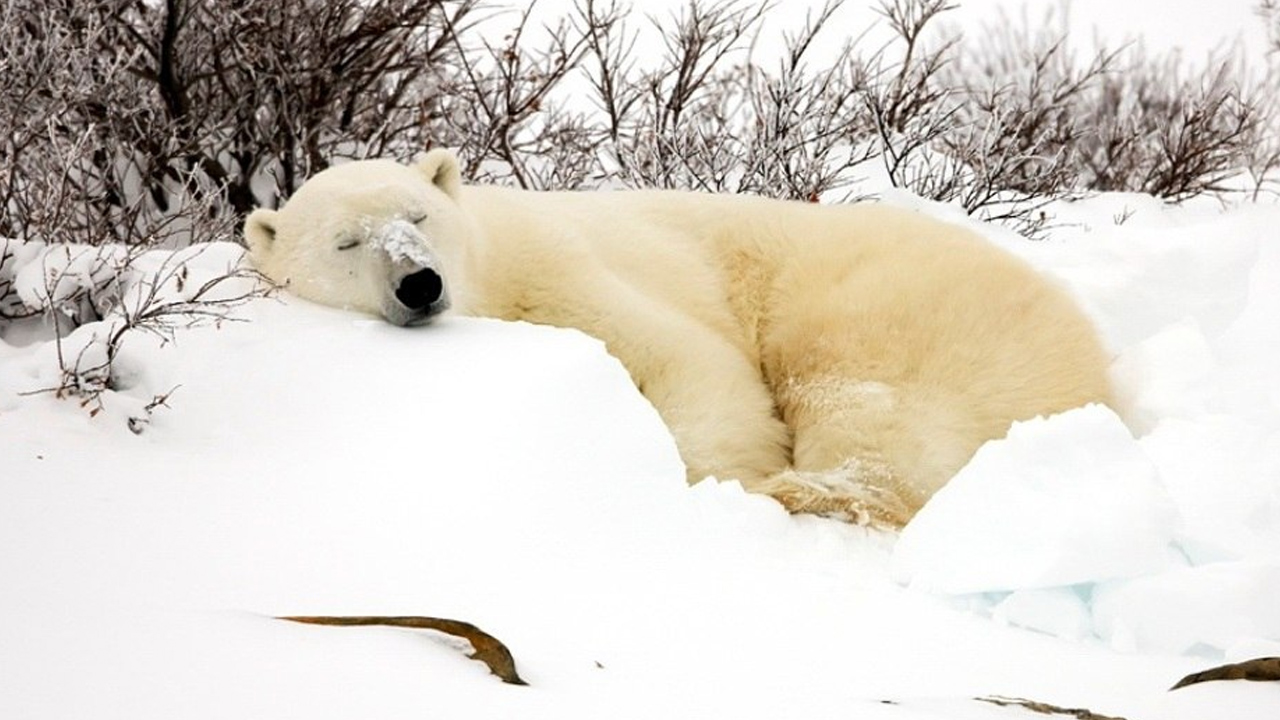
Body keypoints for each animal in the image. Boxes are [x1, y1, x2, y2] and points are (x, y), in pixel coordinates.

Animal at [241, 147, 1111, 527]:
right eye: (346, 242)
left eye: (418, 216)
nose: (419, 283)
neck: (491, 278)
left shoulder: (560, 267)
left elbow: (688, 361)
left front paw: (713, 480)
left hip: (889, 306)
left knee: (866, 405)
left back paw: (798, 490)